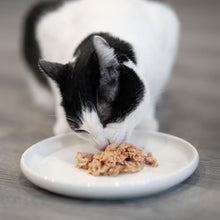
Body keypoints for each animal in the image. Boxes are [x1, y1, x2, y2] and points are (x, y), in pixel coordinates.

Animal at [23, 0, 180, 150]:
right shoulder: (47, 32)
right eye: (82, 130)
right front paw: (63, 127)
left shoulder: (166, 26)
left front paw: (146, 121)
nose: (103, 145)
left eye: (106, 118)